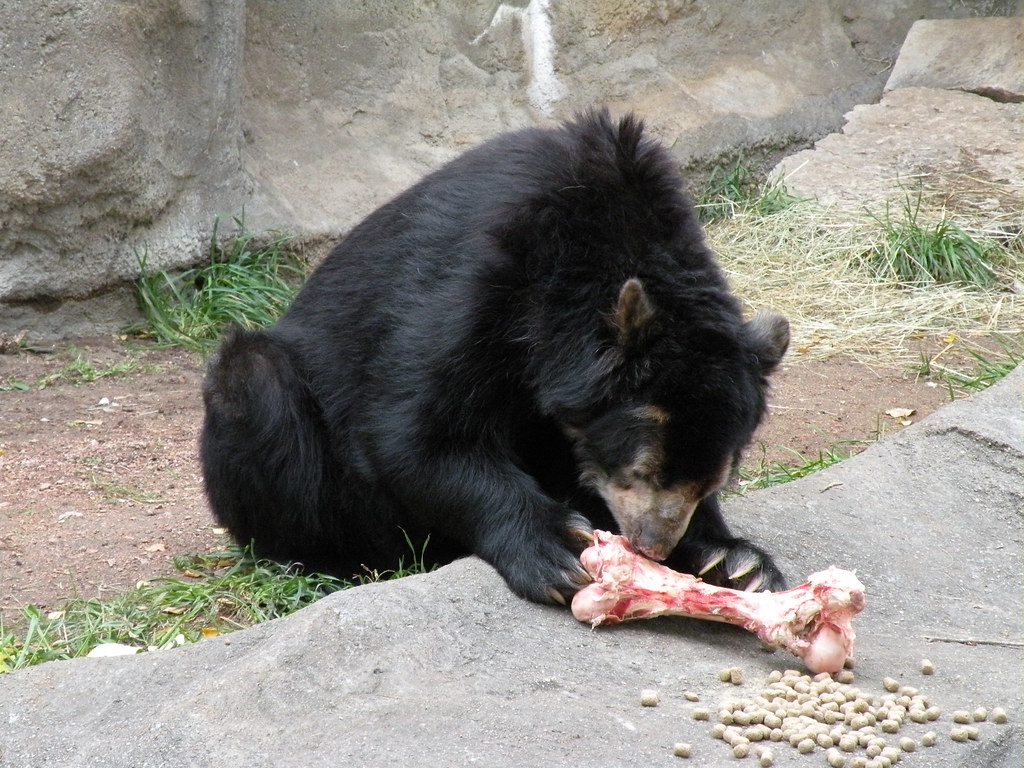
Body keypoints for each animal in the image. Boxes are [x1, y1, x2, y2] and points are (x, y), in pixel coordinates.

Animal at [200, 109, 790, 605]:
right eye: (639, 469)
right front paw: (559, 551)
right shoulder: (475, 284)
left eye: (711, 482)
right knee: (258, 384)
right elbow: (413, 431)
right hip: (270, 414)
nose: (652, 546)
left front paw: (734, 561)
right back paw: (330, 561)